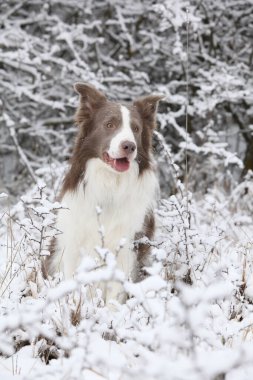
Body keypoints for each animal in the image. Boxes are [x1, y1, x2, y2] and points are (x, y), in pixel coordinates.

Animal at [45, 84, 162, 306]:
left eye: (136, 129)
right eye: (109, 124)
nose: (129, 146)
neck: (111, 183)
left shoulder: (126, 246)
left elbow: (115, 293)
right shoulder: (73, 244)